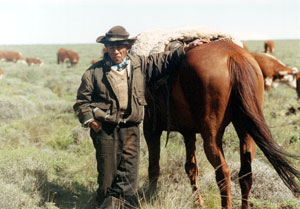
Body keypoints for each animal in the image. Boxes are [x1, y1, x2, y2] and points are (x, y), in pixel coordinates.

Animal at [143, 40, 300, 209]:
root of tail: (235, 56)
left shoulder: (151, 127)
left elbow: (154, 166)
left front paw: (150, 197)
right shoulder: (188, 132)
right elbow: (190, 167)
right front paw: (198, 202)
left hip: (211, 137)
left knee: (223, 172)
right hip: (246, 131)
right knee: (245, 173)